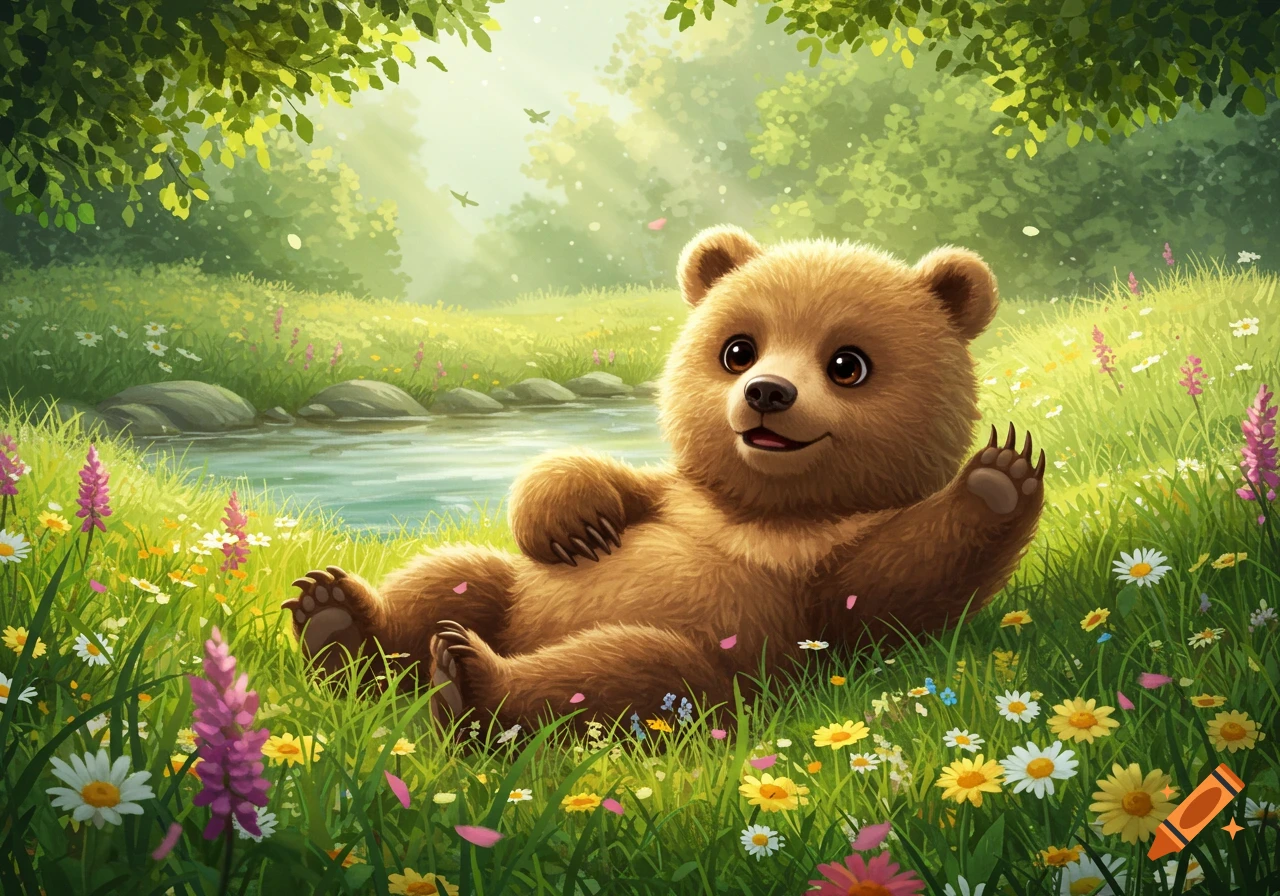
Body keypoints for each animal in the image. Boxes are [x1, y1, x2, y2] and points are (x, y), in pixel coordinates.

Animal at [282, 225, 1046, 731]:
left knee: (625, 672)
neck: (770, 506)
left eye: (847, 363)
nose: (768, 392)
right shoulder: (678, 496)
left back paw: (467, 683)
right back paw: (335, 619)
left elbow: (889, 585)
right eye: (738, 349)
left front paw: (998, 476)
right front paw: (574, 523)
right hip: (508, 593)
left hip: (711, 674)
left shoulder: (818, 583)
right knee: (454, 576)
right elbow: (599, 477)